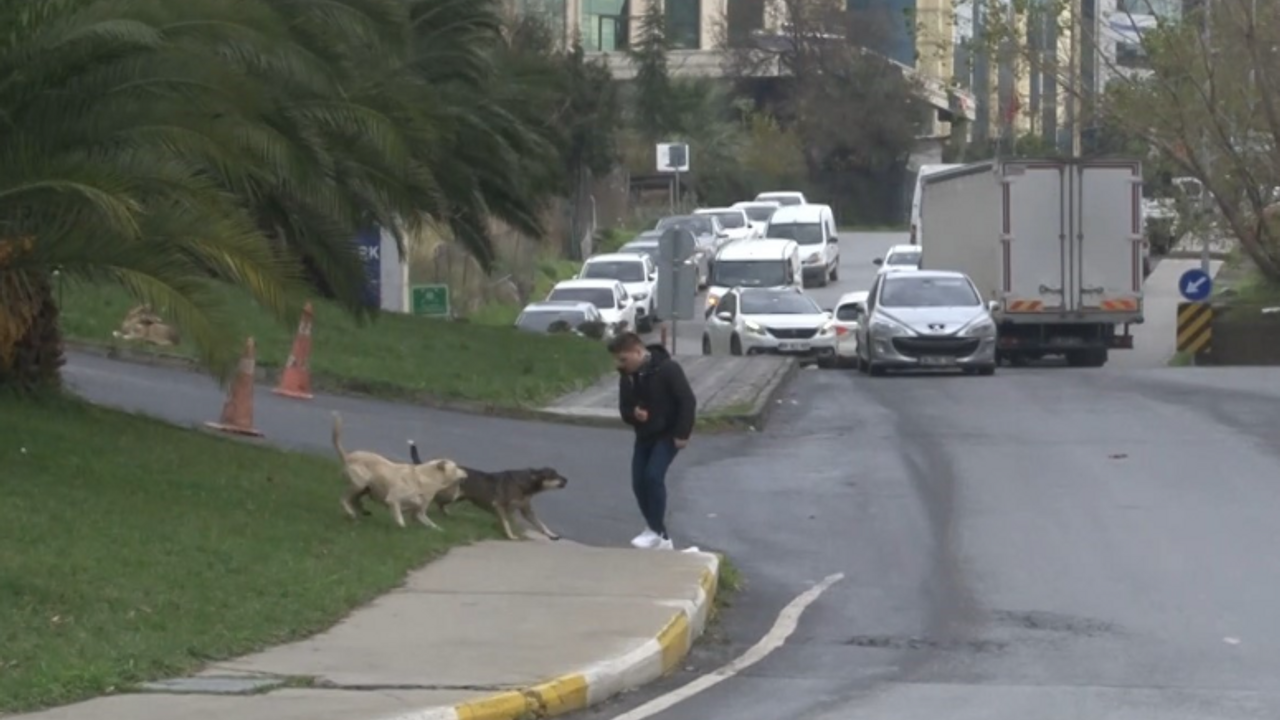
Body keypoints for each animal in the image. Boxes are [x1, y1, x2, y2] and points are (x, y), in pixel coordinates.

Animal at [332, 409, 468, 527]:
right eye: (456, 467)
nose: (466, 472)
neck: (428, 479)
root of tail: (348, 456)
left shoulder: (419, 513)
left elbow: (433, 526)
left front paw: (440, 530)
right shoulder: (394, 499)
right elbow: (401, 521)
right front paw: (401, 525)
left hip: (365, 488)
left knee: (355, 500)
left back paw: (363, 511)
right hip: (360, 484)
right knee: (344, 499)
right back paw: (352, 512)